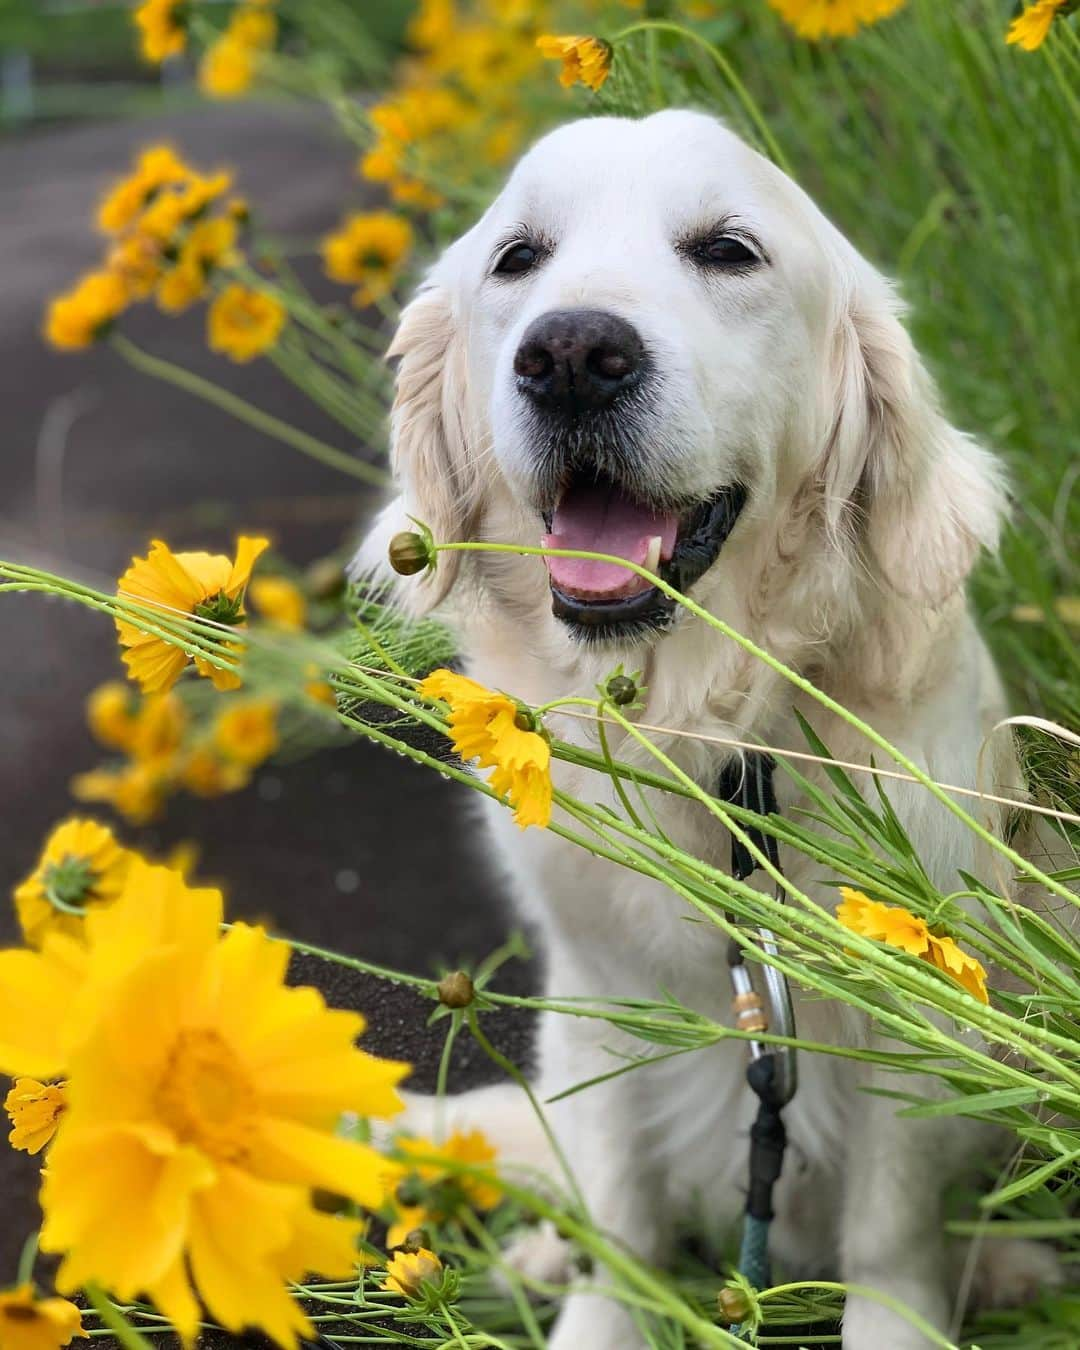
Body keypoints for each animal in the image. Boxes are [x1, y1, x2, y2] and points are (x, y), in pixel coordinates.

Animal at [359, 110, 1058, 1344]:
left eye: (728, 251)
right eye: (518, 259)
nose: (571, 355)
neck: (715, 743)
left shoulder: (907, 1010)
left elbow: (890, 1237)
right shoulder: (599, 994)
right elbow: (622, 1219)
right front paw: (599, 1303)